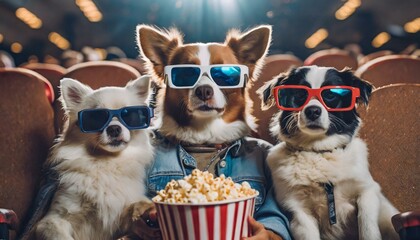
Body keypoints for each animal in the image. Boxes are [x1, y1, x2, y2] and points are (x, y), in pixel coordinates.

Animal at [34, 76, 154, 239]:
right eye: (95, 118)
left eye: (130, 116)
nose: (114, 129)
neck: (107, 162)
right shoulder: (52, 220)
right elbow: (61, 235)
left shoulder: (119, 221)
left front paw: (143, 208)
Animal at [258, 64, 398, 239]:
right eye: (299, 93)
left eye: (330, 94)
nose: (312, 111)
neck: (319, 151)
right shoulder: (298, 209)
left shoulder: (367, 192)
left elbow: (368, 229)